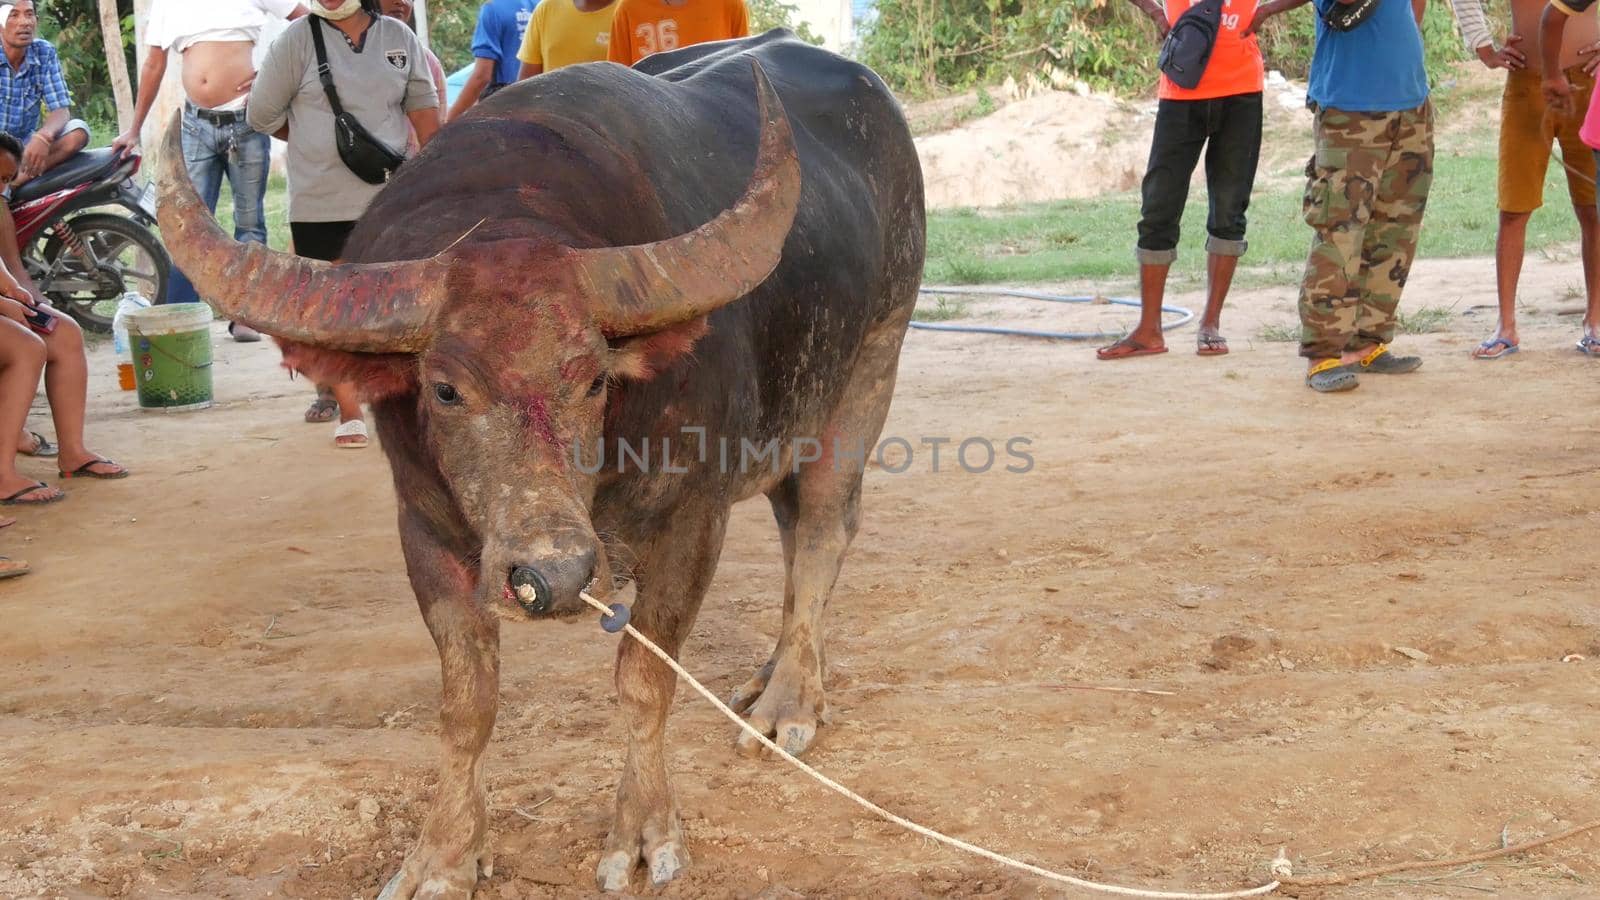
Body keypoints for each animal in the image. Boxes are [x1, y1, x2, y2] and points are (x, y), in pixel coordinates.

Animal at [152, 31, 928, 890]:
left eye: (594, 380)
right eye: (446, 389)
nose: (552, 573)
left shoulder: (693, 523)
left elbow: (644, 680)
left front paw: (643, 833)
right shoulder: (425, 530)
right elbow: (467, 702)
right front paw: (443, 854)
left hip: (872, 364)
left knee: (823, 529)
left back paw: (789, 702)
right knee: (795, 530)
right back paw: (773, 674)